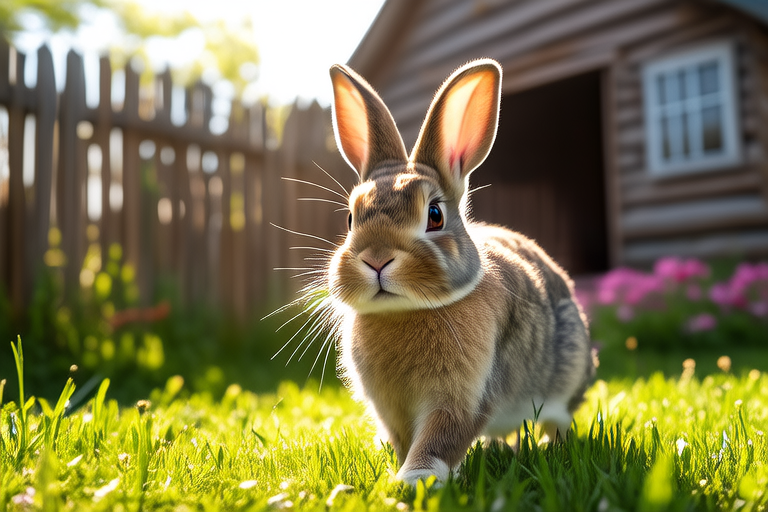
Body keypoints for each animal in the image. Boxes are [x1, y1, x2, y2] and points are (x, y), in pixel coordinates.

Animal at [324, 58, 595, 486]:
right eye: (351, 219)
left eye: (434, 215)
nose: (377, 259)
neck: (404, 310)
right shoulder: (392, 410)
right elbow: (407, 441)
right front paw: (403, 475)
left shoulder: (462, 398)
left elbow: (439, 440)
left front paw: (414, 481)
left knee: (558, 422)